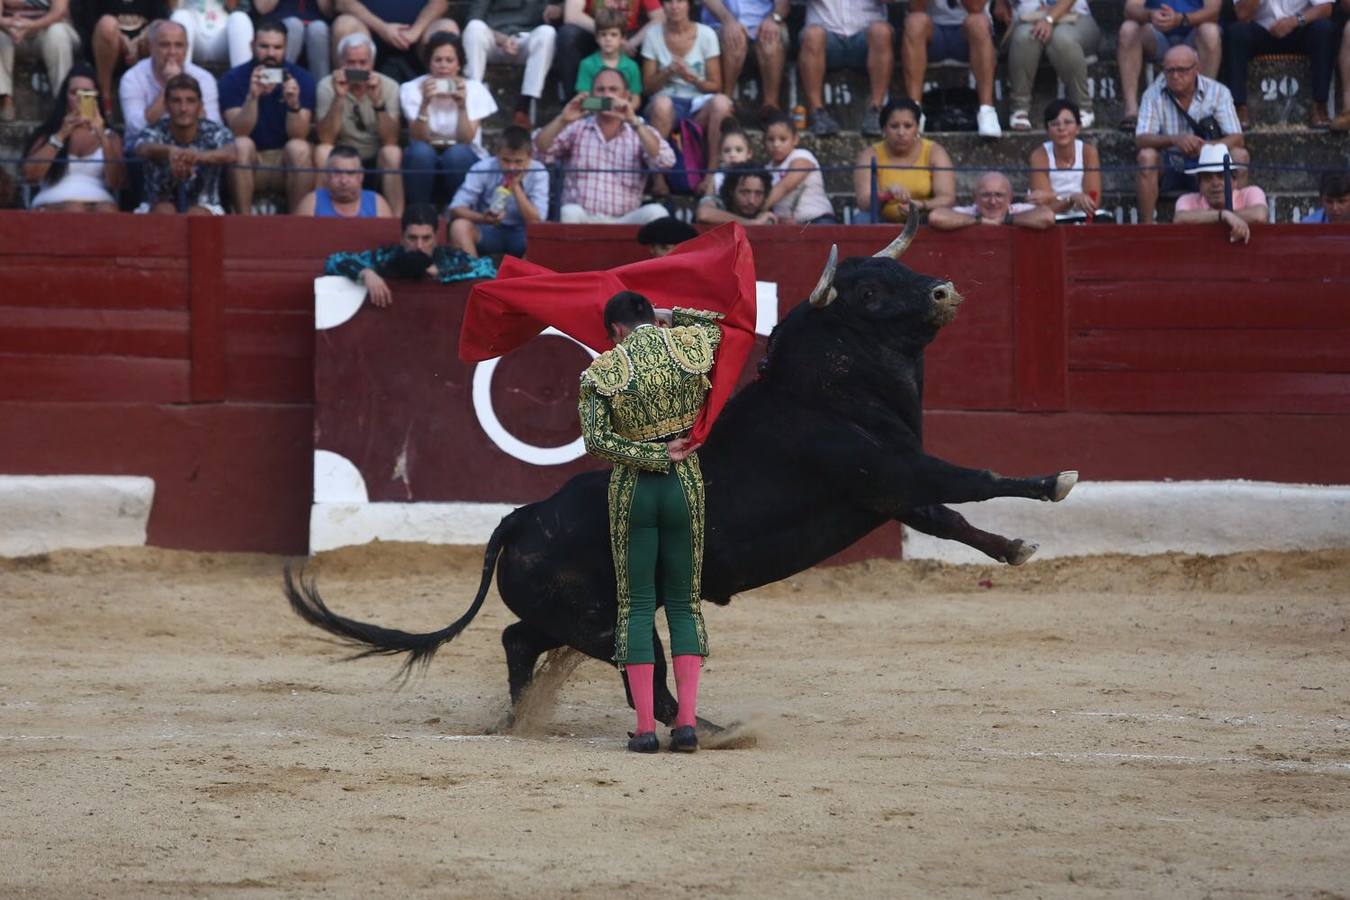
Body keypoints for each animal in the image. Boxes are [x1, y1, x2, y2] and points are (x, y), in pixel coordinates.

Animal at [284, 218, 1074, 734]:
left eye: (898, 273)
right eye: (871, 295)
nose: (942, 289)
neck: (824, 391)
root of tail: (522, 516)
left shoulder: (896, 491)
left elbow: (956, 518)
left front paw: (1016, 549)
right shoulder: (895, 472)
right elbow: (976, 478)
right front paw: (1057, 484)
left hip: (570, 614)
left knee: (517, 641)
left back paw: (522, 722)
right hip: (598, 617)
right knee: (628, 661)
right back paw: (696, 727)